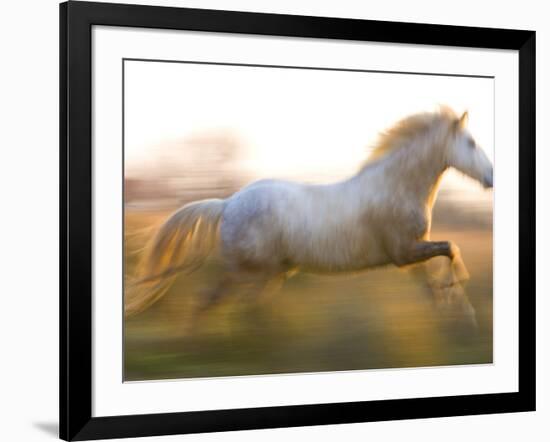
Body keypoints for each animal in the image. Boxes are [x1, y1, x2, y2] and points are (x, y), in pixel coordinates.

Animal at [126, 107, 496, 322]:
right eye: (471, 142)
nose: (491, 176)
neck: (395, 186)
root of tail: (228, 204)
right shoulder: (404, 252)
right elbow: (451, 249)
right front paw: (461, 301)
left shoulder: (410, 255)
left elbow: (434, 277)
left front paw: (453, 307)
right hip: (247, 270)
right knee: (213, 300)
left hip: (268, 273)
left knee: (233, 302)